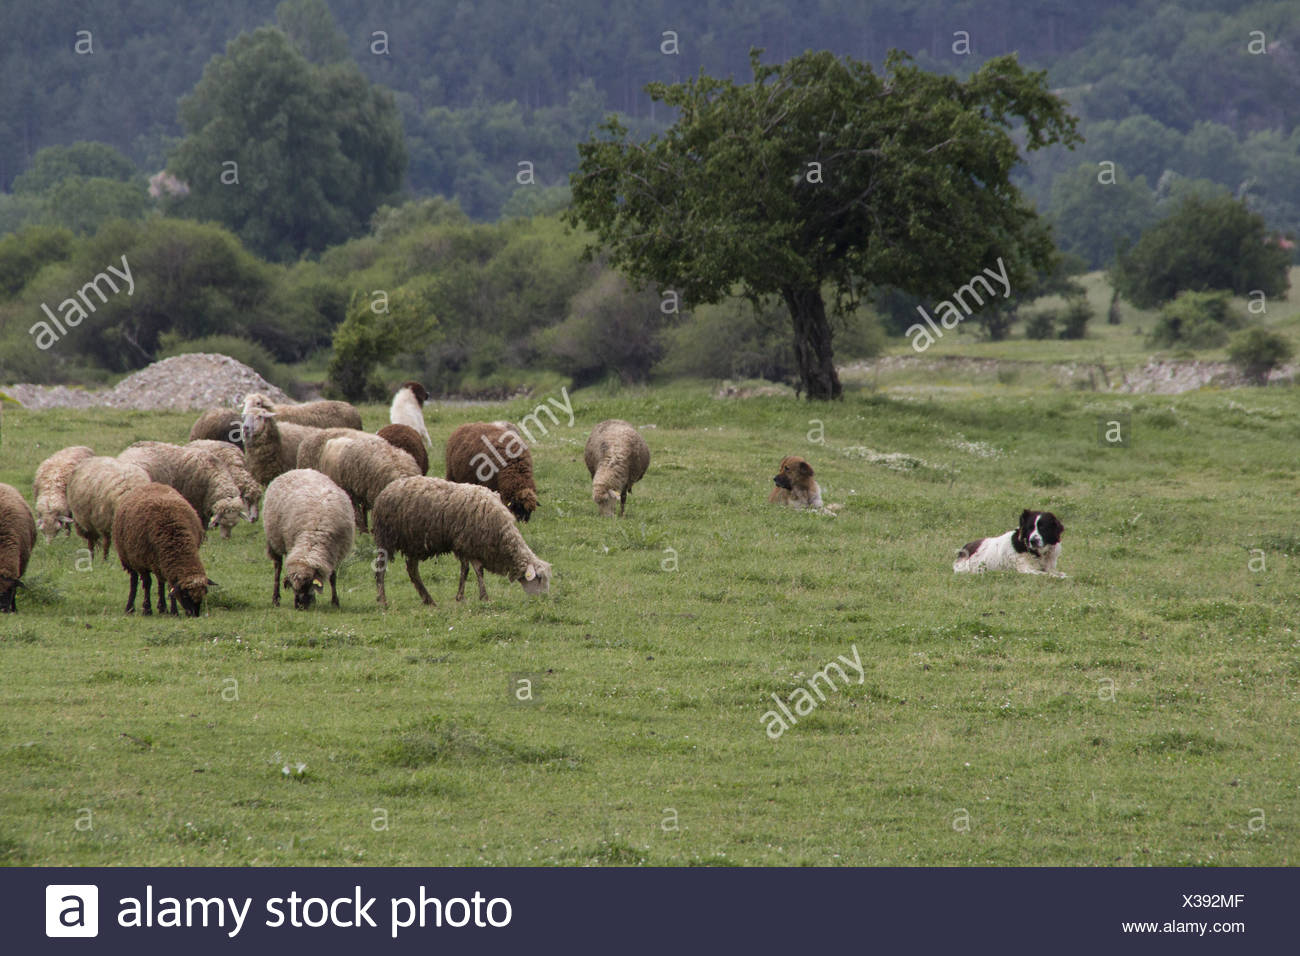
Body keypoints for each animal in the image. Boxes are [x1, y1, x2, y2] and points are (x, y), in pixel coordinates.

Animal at [111, 481, 210, 616]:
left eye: (204, 594)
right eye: (185, 595)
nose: (194, 615)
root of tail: (150, 484)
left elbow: (170, 587)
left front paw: (172, 611)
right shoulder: (142, 563)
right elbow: (147, 584)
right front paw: (147, 609)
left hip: (158, 561)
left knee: (160, 582)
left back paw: (162, 608)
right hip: (129, 558)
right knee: (134, 581)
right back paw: (130, 608)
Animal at [262, 468, 356, 608]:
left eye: (307, 585)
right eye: (293, 588)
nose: (299, 606)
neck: (313, 538)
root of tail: (297, 470)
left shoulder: (334, 553)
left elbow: (333, 577)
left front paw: (335, 602)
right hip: (274, 539)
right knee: (277, 567)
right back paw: (275, 599)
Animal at [369, 476, 551, 608]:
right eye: (539, 578)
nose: (544, 600)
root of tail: (387, 489)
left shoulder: (466, 546)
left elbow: (466, 570)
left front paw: (461, 596)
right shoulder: (466, 543)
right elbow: (475, 570)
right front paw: (482, 597)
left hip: (413, 543)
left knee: (412, 570)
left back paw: (428, 600)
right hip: (386, 538)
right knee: (380, 569)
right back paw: (383, 600)